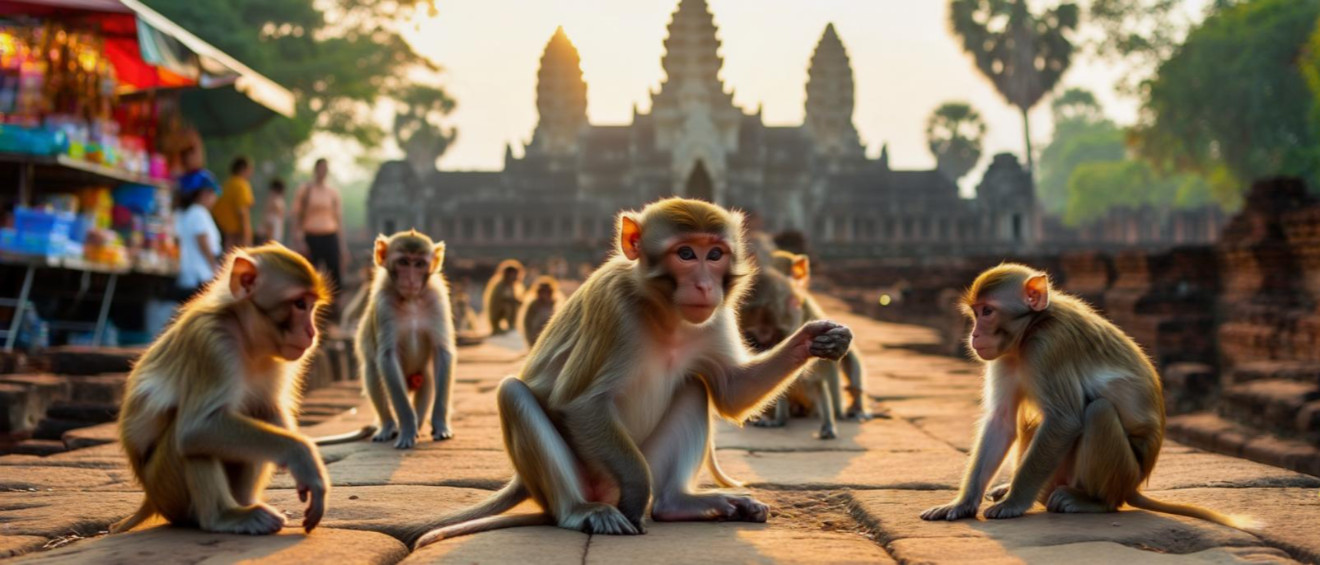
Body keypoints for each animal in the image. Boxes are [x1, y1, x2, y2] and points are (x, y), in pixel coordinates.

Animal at [111, 243, 331, 535]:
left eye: (311, 306)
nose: (311, 332)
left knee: (253, 415)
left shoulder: (278, 360)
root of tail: (150, 499)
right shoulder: (211, 342)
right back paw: (227, 516)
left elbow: (269, 408)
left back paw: (248, 503)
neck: (247, 338)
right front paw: (302, 456)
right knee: (193, 438)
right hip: (166, 489)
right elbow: (197, 427)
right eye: (299, 304)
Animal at [315, 230, 458, 448]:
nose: (411, 280)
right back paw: (390, 426)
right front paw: (407, 429)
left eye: (419, 264)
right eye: (403, 262)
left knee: (427, 378)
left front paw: (440, 425)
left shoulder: (438, 299)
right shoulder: (383, 304)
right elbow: (387, 358)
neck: (412, 300)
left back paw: (418, 422)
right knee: (372, 372)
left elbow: (442, 353)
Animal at [407, 198, 852, 547]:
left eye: (715, 255)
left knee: (694, 385)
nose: (705, 286)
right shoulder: (613, 306)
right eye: (685, 254)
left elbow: (731, 391)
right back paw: (583, 511)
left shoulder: (714, 316)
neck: (665, 313)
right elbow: (580, 403)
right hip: (583, 477)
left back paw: (679, 504)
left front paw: (817, 338)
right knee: (514, 394)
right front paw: (637, 498)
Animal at [920, 263, 1253, 529]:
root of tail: (1133, 485)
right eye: (975, 312)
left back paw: (1092, 502)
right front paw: (962, 504)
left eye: (987, 312)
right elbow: (1001, 421)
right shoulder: (1004, 356)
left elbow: (1065, 420)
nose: (974, 334)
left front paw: (1013, 502)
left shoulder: (1049, 346)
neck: (1031, 329)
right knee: (1035, 421)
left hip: (1120, 472)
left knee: (1099, 411)